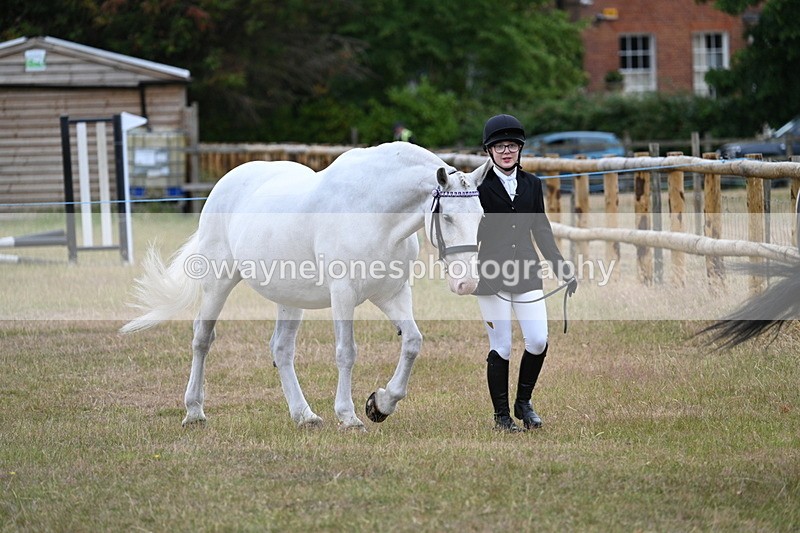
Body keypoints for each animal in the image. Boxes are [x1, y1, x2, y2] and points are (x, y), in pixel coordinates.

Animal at [121, 142, 485, 430]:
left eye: (481, 216)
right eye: (448, 217)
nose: (466, 282)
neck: (373, 209)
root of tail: (225, 184)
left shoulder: (392, 294)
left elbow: (412, 342)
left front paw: (380, 404)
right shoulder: (344, 293)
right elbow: (346, 353)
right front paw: (349, 416)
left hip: (289, 297)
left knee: (281, 350)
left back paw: (304, 415)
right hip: (218, 281)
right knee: (202, 339)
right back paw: (194, 411)